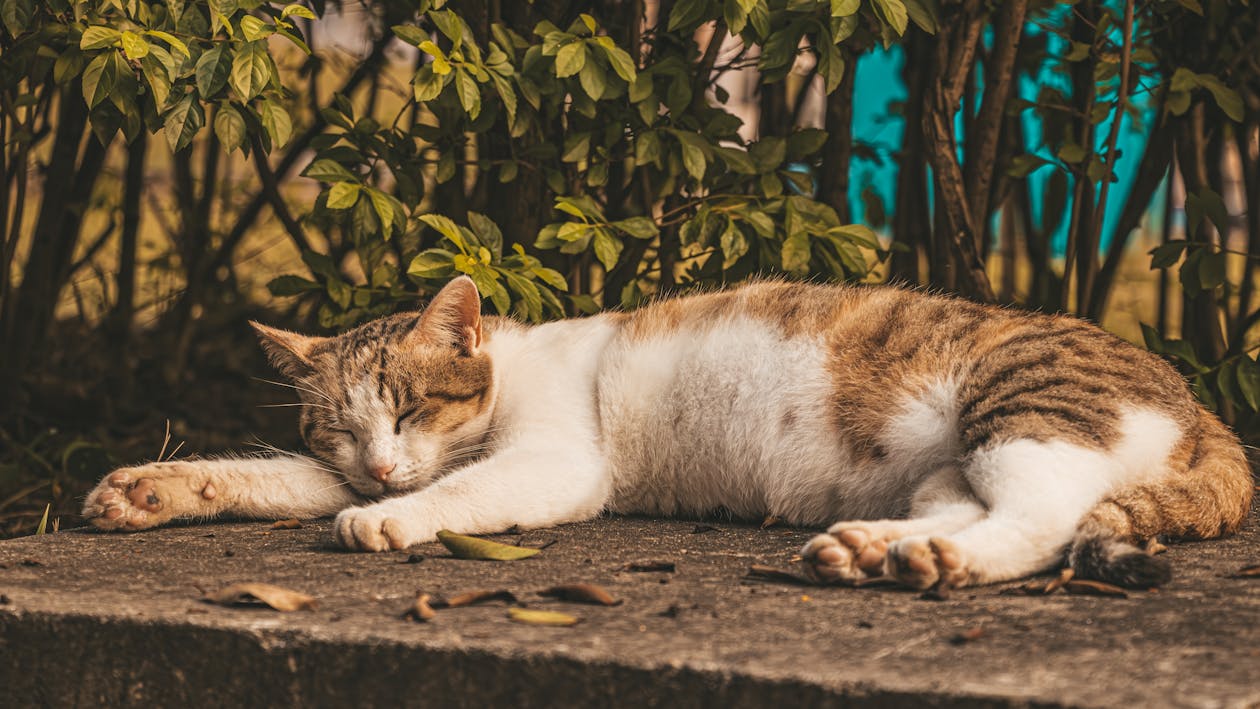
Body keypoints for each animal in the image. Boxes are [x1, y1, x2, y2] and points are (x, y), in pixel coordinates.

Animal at [78, 275, 1249, 589]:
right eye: (342, 428)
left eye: (408, 407)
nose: (380, 462)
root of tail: (1201, 401)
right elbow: (273, 476)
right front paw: (154, 488)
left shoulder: (554, 462)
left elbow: (458, 492)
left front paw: (390, 522)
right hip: (946, 466)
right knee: (966, 505)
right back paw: (874, 548)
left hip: (1020, 408)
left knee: (1044, 516)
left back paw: (938, 564)